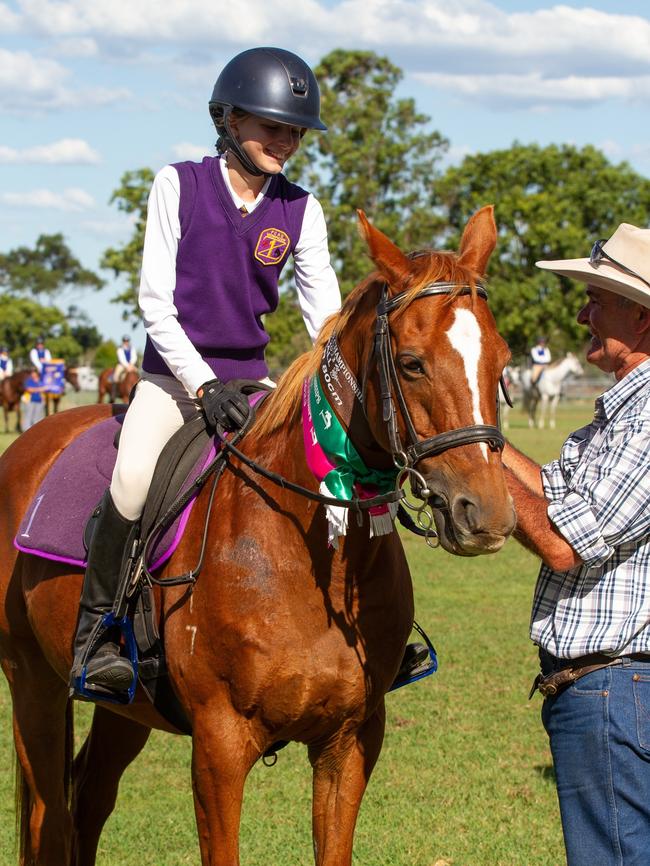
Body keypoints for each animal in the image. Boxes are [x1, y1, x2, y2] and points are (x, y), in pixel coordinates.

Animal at [1, 208, 516, 864]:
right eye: (412, 363)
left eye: (501, 361)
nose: (488, 514)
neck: (308, 560)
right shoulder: (220, 746)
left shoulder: (350, 742)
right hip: (31, 679)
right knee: (50, 814)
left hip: (127, 708)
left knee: (88, 801)